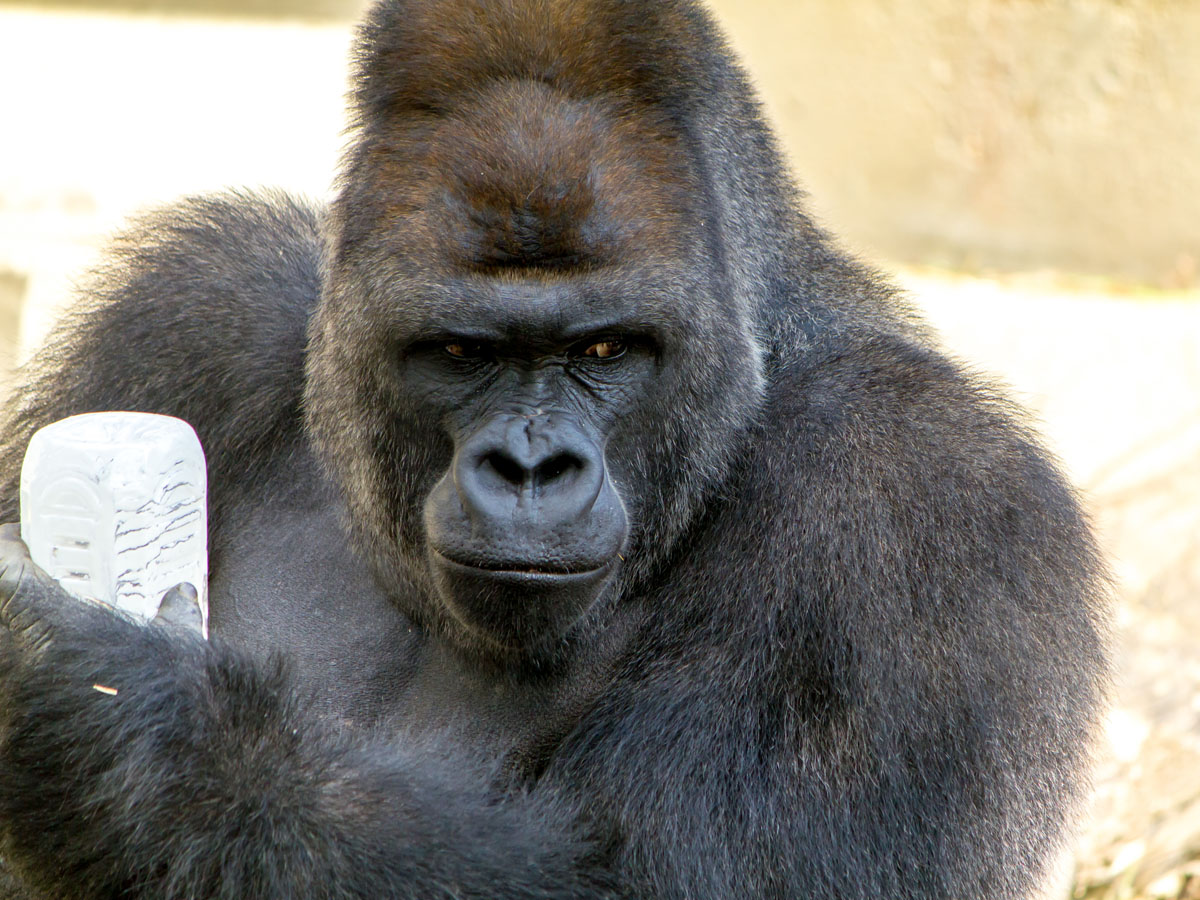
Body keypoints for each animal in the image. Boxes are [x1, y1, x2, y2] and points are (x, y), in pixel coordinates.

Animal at [0, 1, 1108, 900]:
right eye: (462, 352)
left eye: (605, 349)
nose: (530, 469)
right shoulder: (192, 316)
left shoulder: (922, 488)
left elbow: (673, 876)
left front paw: (101, 710)